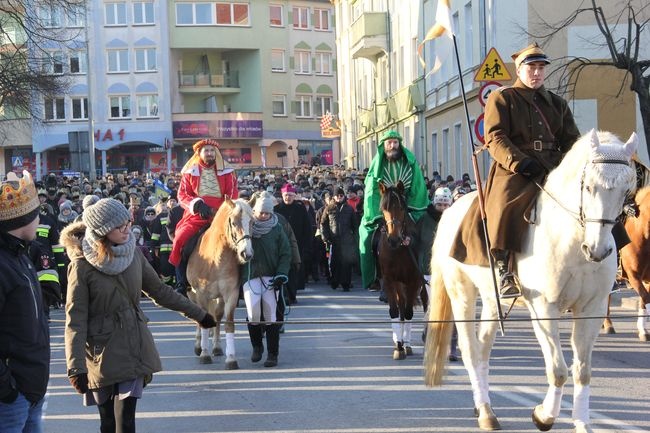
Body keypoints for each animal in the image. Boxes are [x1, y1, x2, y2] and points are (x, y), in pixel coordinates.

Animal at [185, 198, 253, 368]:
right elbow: (202, 320)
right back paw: (199, 346)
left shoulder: (230, 294)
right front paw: (204, 354)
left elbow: (228, 323)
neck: (215, 259)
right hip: (192, 293)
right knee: (197, 314)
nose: (246, 253)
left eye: (252, 222)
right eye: (234, 223)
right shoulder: (201, 294)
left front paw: (231, 358)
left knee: (216, 315)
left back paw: (216, 347)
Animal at [378, 181, 428, 360]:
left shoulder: (413, 281)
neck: (398, 250)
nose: (393, 239)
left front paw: (405, 344)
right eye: (383, 208)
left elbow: (408, 313)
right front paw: (398, 346)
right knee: (400, 306)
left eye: (401, 207)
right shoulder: (389, 280)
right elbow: (395, 311)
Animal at [422, 129, 636, 432]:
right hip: (461, 293)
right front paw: (543, 416)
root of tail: (450, 210)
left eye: (625, 190)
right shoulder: (544, 309)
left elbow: (582, 371)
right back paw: (485, 410)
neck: (572, 240)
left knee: (483, 347)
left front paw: (582, 423)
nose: (597, 250)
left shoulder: (591, 310)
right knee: (470, 350)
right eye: (589, 187)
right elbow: (558, 370)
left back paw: (485, 409)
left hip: (491, 300)